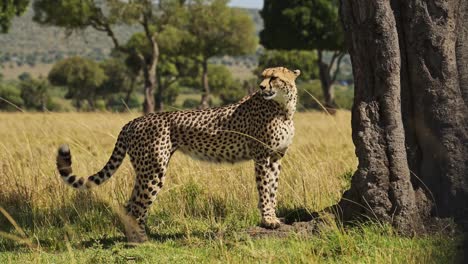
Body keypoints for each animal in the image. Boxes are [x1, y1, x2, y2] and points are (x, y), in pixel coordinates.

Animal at [56, 67, 302, 242]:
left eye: (274, 77)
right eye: (263, 77)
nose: (261, 87)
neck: (283, 108)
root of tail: (133, 120)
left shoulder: (275, 157)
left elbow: (273, 188)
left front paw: (273, 216)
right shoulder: (262, 157)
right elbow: (265, 189)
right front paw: (268, 219)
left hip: (146, 169)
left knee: (130, 205)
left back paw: (137, 237)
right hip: (153, 170)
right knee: (136, 207)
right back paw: (142, 241)